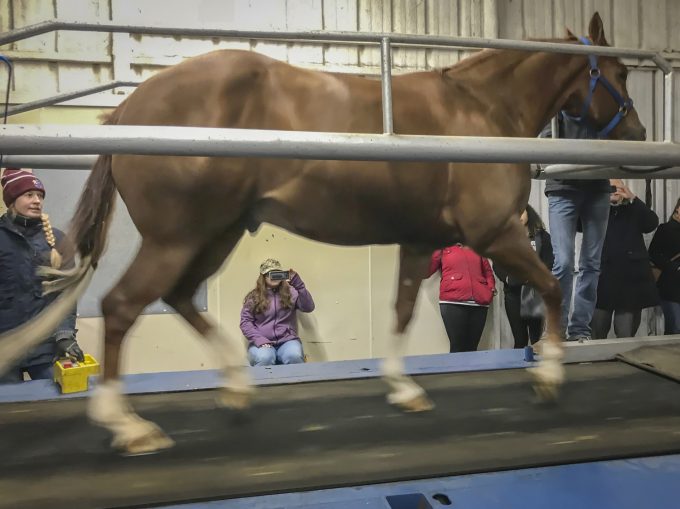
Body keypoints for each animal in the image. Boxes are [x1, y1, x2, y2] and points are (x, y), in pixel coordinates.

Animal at [0, 13, 644, 452]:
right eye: (618, 71)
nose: (637, 135)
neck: (478, 112)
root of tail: (128, 110)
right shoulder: (495, 234)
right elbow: (553, 286)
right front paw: (549, 378)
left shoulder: (417, 241)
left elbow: (401, 310)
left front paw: (404, 390)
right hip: (176, 239)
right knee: (122, 306)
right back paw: (129, 426)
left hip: (213, 235)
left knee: (177, 298)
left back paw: (235, 389)